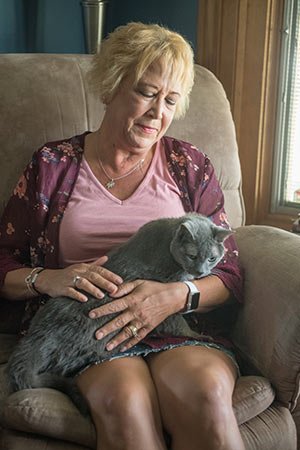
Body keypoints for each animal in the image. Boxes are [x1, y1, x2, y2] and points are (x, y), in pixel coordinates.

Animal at [7, 213, 232, 414]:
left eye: (212, 258)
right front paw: (199, 335)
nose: (201, 272)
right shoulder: (164, 300)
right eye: (192, 256)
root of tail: (33, 340)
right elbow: (178, 323)